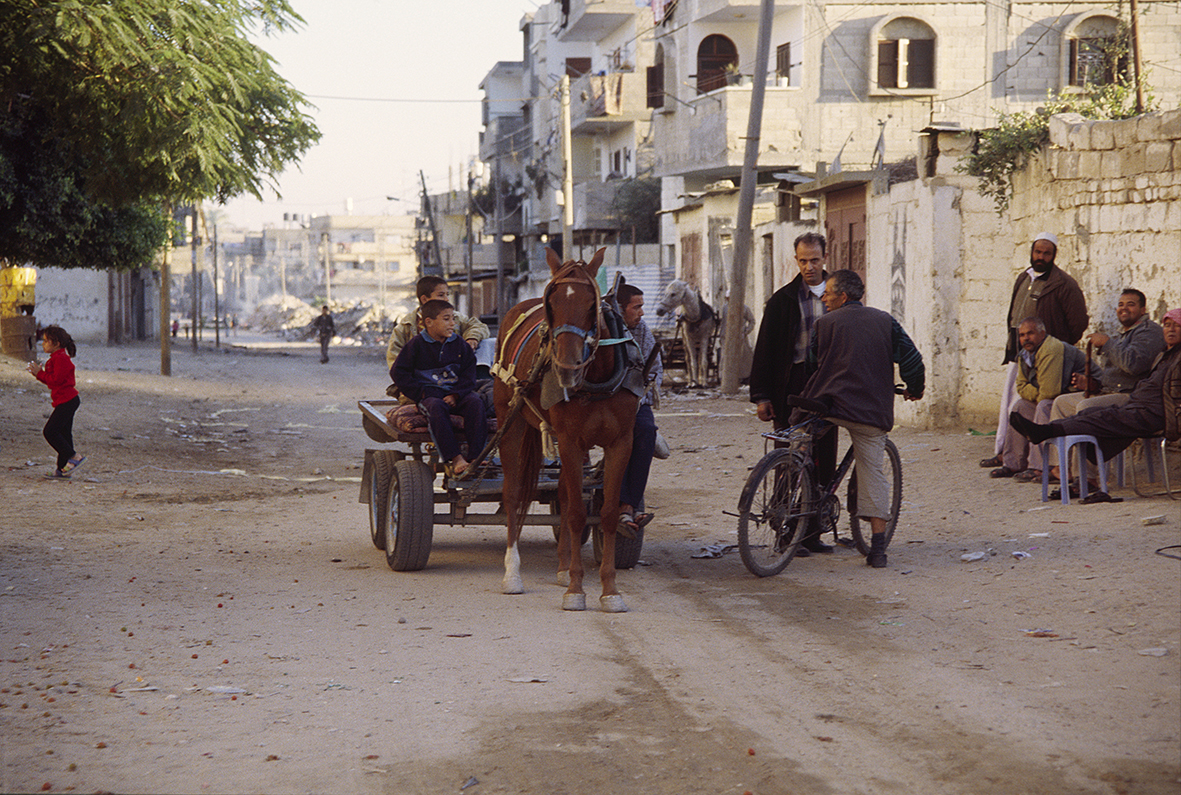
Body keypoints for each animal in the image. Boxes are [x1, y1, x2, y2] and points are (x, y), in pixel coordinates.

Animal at [491, 248, 637, 614]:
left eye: (591, 305)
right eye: (552, 303)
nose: (566, 368)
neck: (597, 379)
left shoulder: (620, 442)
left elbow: (606, 513)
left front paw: (609, 590)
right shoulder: (570, 440)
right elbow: (575, 514)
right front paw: (575, 590)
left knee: (563, 493)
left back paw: (561, 566)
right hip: (510, 421)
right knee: (512, 494)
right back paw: (512, 573)